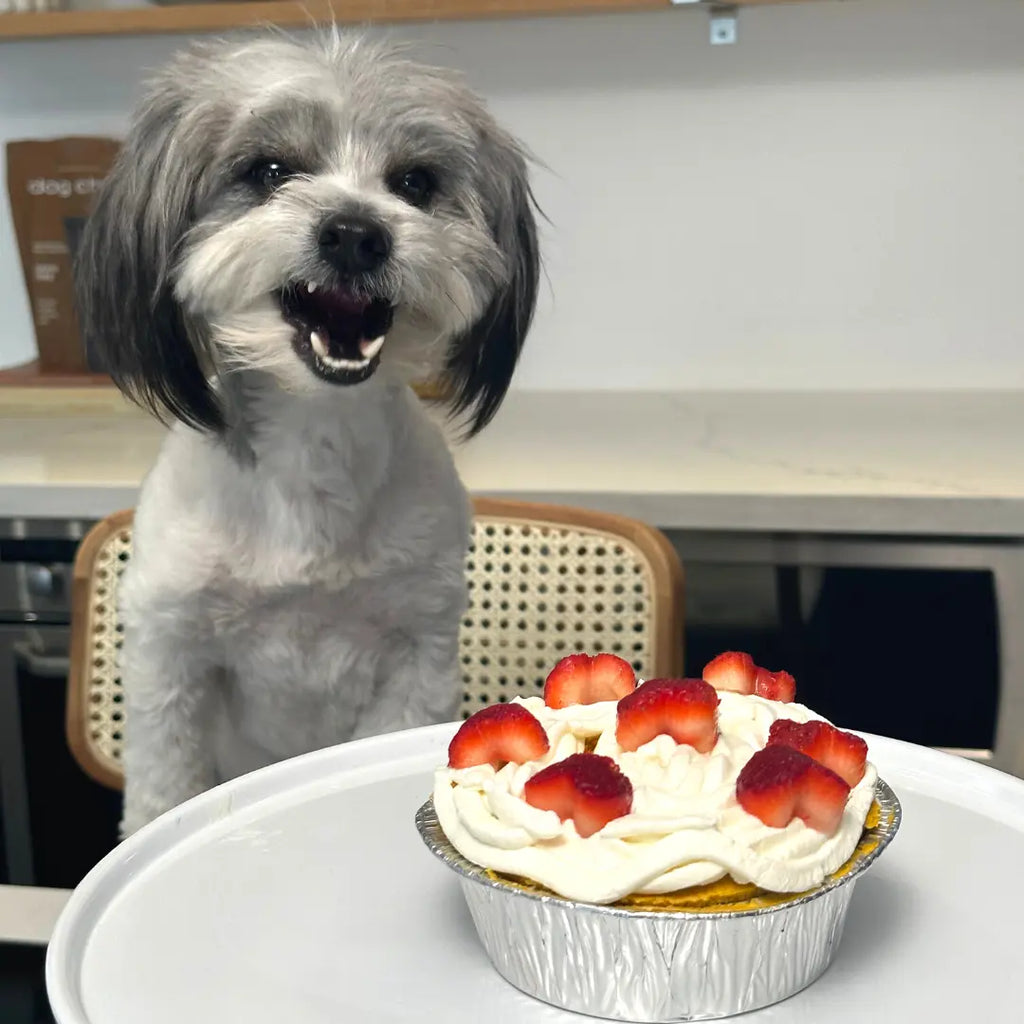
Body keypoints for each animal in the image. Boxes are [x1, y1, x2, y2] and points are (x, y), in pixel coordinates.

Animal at [74, 32, 540, 835]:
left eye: (415, 182)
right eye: (268, 171)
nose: (355, 232)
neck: (315, 436)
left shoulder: (415, 653)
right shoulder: (171, 658)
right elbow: (162, 794)